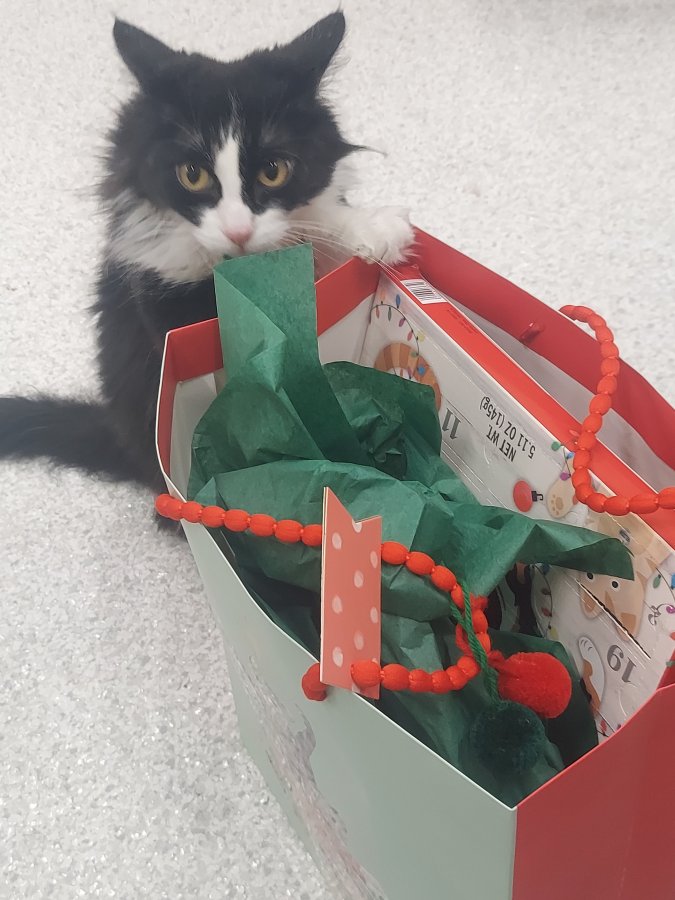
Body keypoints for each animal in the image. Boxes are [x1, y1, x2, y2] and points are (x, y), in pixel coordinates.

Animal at [0, 13, 415, 492]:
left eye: (273, 171)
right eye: (192, 175)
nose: (238, 231)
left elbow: (320, 219)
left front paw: (373, 227)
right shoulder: (160, 296)